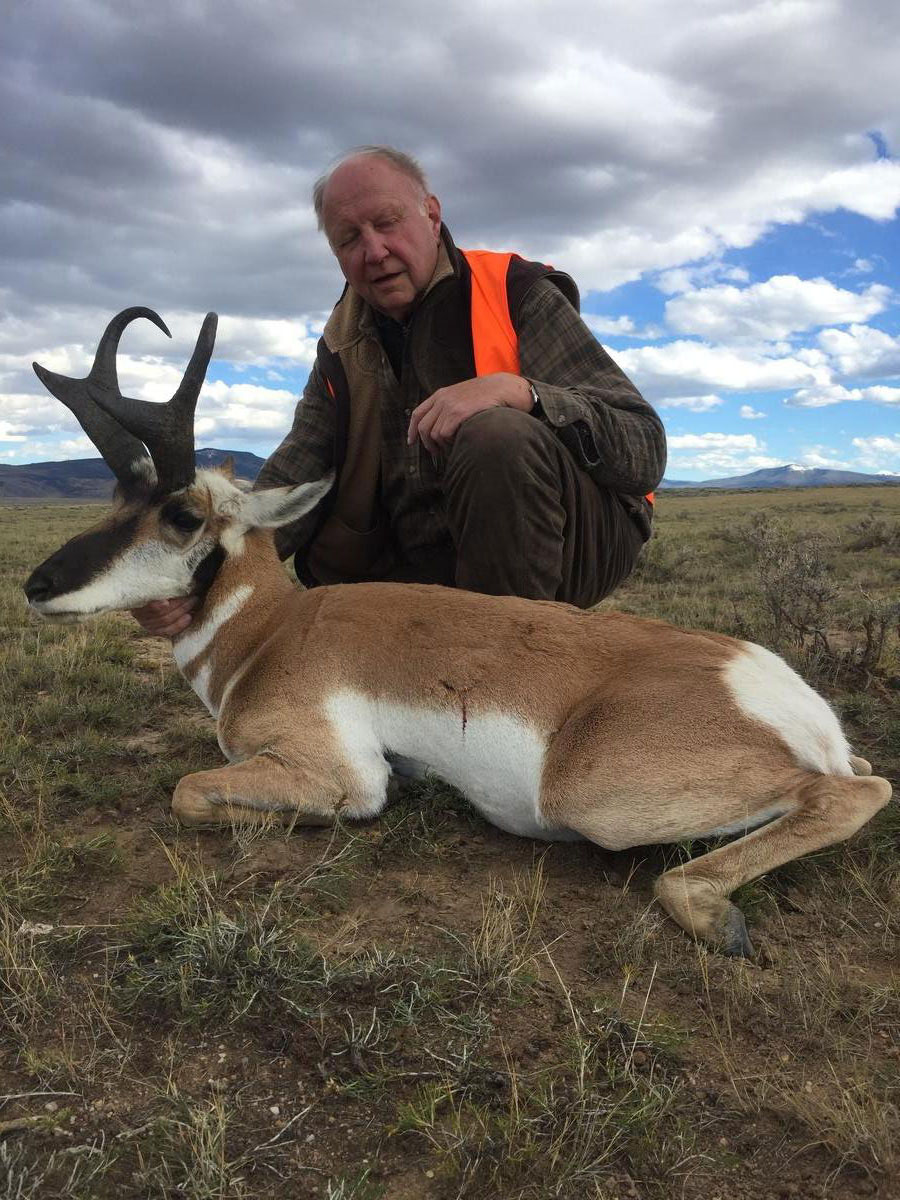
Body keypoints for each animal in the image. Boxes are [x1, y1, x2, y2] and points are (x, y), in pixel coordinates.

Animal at [25, 308, 892, 958]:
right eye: (114, 498)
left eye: (181, 514)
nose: (37, 585)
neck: (271, 630)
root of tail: (763, 684)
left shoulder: (335, 770)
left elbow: (192, 791)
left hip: (590, 795)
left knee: (851, 794)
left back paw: (714, 912)